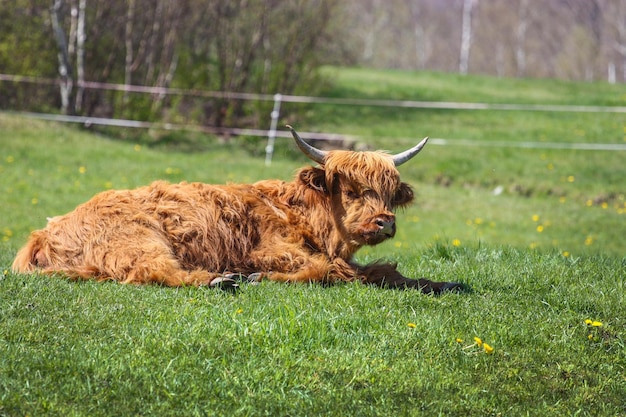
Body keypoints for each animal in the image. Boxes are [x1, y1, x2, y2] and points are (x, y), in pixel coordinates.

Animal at [12, 127, 464, 292]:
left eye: (389, 194)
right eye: (351, 190)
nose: (384, 222)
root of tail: (44, 232)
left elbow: (385, 271)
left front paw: (443, 283)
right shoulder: (271, 249)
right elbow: (329, 270)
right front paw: (261, 276)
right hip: (139, 238)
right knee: (153, 272)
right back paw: (221, 280)